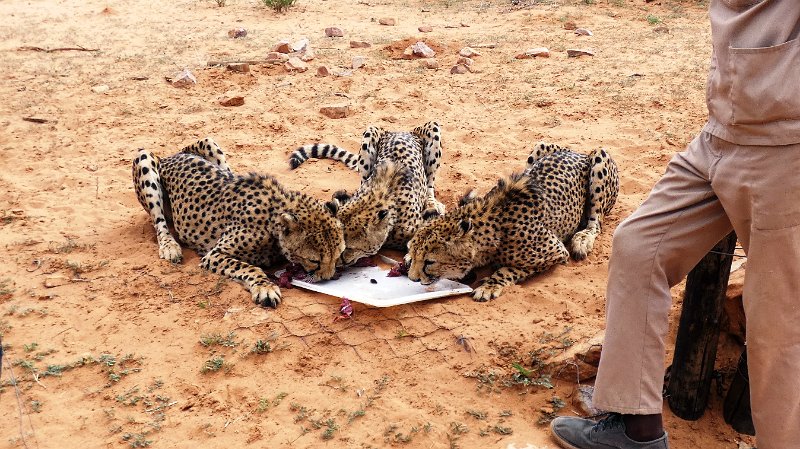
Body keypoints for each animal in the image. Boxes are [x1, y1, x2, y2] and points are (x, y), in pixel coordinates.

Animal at [131, 137, 345, 308]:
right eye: (314, 260)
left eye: (338, 255)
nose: (327, 279)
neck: (272, 219)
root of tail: (173, 154)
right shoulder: (214, 254)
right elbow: (248, 267)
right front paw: (265, 287)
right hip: (144, 160)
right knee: (159, 222)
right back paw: (170, 247)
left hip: (210, 144)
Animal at [288, 121, 446, 266]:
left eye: (349, 247)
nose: (337, 263)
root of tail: (400, 131)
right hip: (369, 135)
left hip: (433, 130)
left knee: (430, 185)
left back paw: (432, 202)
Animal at [405, 142, 619, 302]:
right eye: (414, 253)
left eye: (429, 262)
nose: (412, 279)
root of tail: (578, 152)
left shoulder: (556, 252)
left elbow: (508, 270)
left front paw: (490, 285)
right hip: (539, 148)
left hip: (599, 159)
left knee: (595, 223)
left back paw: (582, 240)